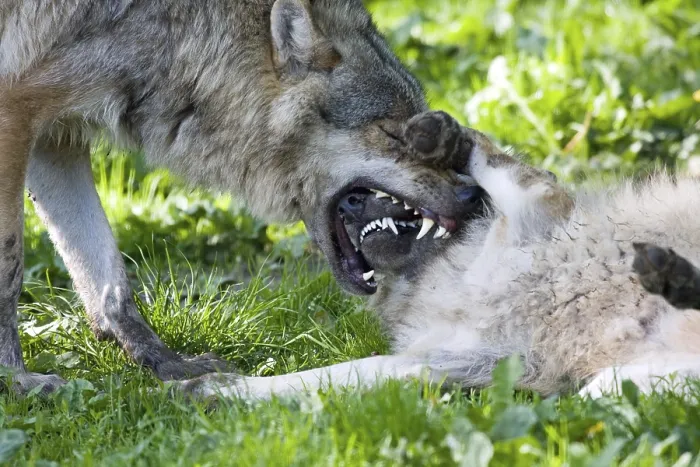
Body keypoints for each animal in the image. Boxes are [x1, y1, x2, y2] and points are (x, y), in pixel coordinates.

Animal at [0, 1, 477, 393]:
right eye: (393, 132)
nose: (472, 192)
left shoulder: (57, 138)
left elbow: (110, 283)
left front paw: (167, 364)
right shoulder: (16, 113)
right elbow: (11, 272)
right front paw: (16, 382)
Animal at [175, 110, 700, 401]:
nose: (349, 202)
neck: (436, 271)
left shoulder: (536, 200)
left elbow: (487, 154)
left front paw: (446, 135)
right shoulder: (457, 360)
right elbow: (328, 377)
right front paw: (220, 392)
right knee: (606, 392)